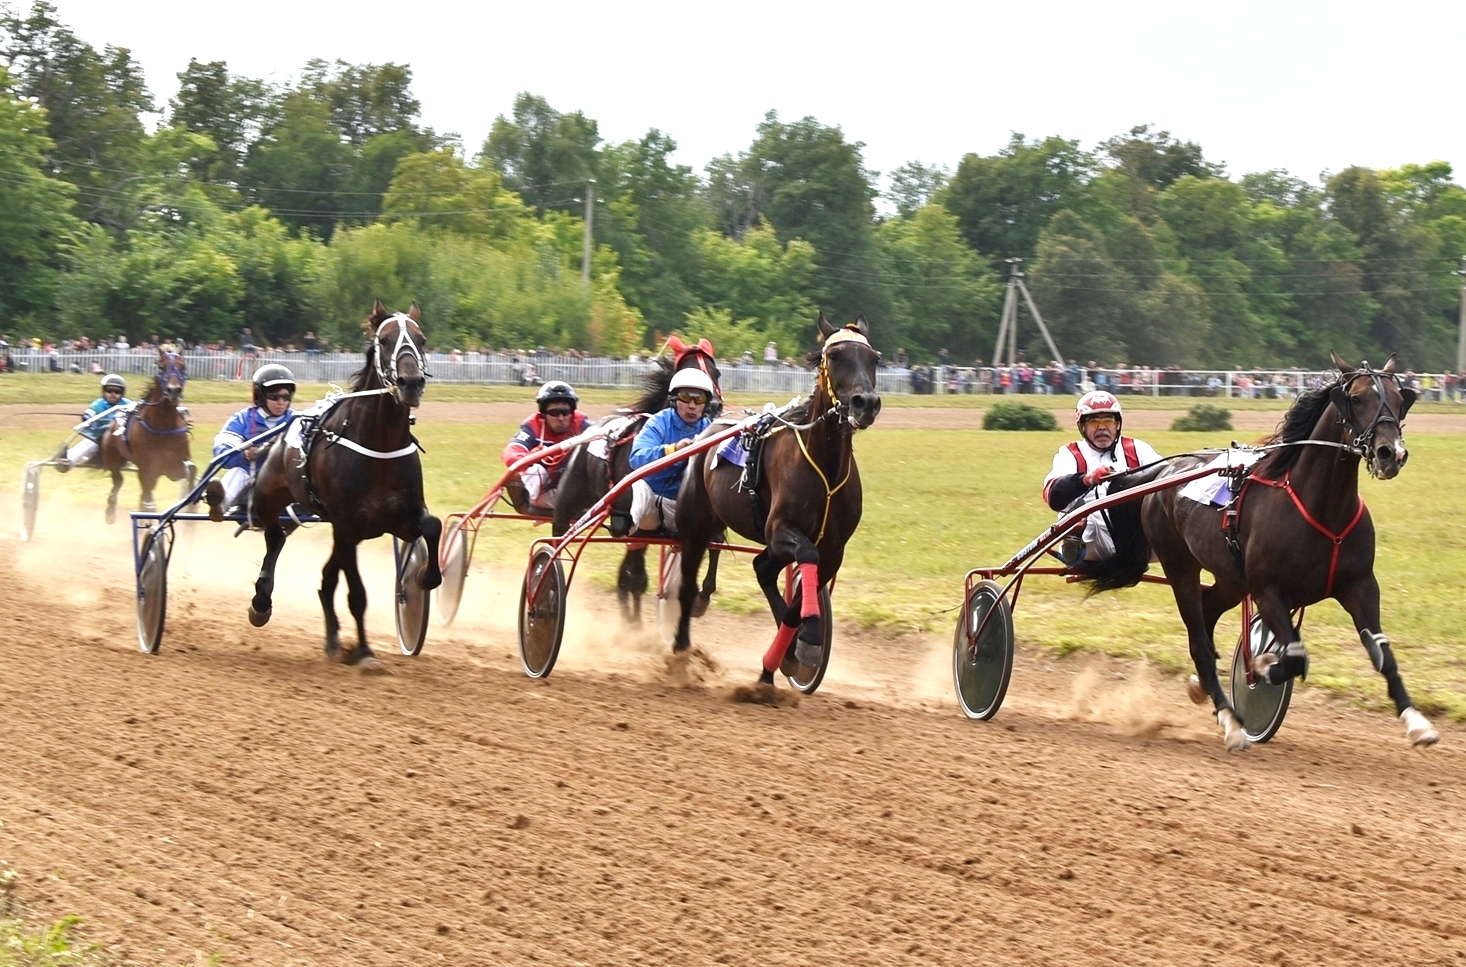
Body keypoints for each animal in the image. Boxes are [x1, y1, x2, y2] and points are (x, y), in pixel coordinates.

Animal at [101, 348, 194, 521]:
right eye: (161, 367)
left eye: (183, 366)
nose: (173, 390)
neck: (163, 426)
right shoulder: (147, 468)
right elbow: (147, 495)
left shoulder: (176, 464)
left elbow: (191, 472)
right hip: (111, 455)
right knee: (118, 480)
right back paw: (111, 511)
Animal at [249, 301, 442, 671]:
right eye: (385, 340)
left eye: (422, 339)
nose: (411, 382)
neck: (380, 445)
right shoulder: (348, 525)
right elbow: (357, 595)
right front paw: (365, 652)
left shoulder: (400, 518)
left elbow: (432, 526)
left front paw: (426, 576)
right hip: (269, 495)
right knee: (275, 536)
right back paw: (261, 601)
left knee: (326, 579)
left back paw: (333, 640)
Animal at [551, 335, 724, 624]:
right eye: (687, 369)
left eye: (716, 372)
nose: (711, 405)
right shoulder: (635, 520)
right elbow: (637, 576)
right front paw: (634, 623)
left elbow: (716, 542)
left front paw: (702, 598)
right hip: (572, 500)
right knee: (561, 536)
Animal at [671, 313, 879, 682]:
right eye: (834, 356)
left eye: (875, 359)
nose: (865, 403)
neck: (825, 468)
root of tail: (707, 430)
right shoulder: (782, 529)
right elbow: (806, 555)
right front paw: (806, 640)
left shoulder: (834, 548)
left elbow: (799, 596)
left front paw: (794, 649)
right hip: (695, 525)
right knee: (688, 586)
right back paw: (682, 648)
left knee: (762, 568)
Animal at [1090, 351, 1430, 750]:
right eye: (1358, 398)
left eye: (1399, 398)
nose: (1391, 453)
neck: (1322, 509)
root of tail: (1163, 473)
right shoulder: (1268, 591)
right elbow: (1295, 656)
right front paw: (1262, 668)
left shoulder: (1360, 586)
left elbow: (1383, 653)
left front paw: (1417, 721)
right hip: (1181, 567)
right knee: (1198, 639)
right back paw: (1230, 720)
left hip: (1232, 579)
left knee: (1207, 613)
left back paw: (1202, 687)